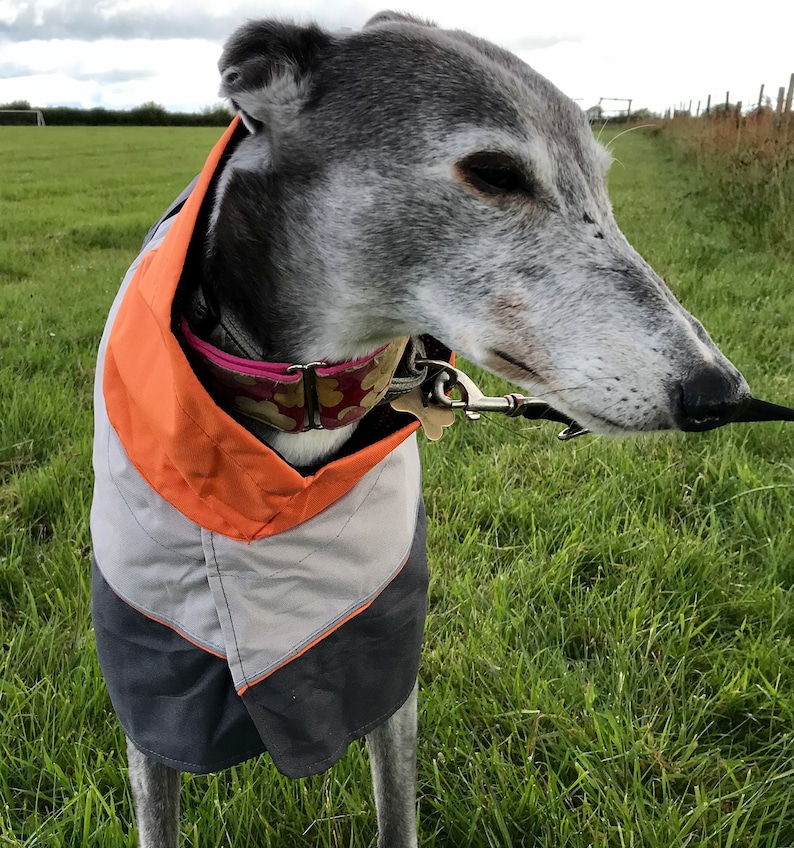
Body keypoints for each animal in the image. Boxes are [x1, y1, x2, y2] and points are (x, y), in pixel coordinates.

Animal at [88, 8, 760, 848]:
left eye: (601, 182)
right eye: (496, 172)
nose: (721, 391)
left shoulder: (385, 664)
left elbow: (396, 810)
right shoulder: (152, 695)